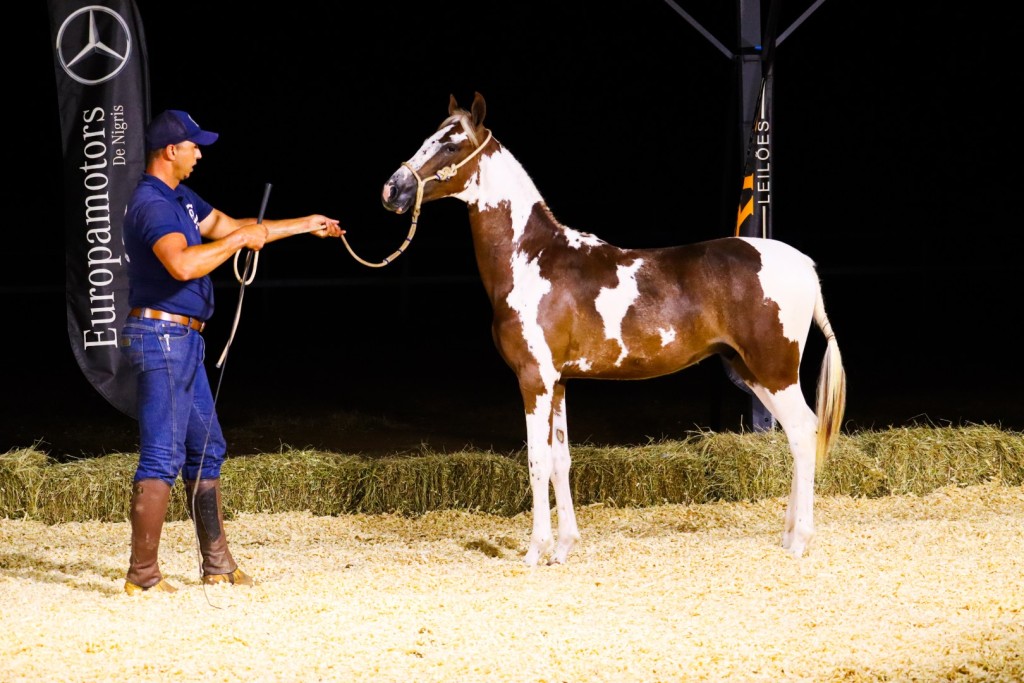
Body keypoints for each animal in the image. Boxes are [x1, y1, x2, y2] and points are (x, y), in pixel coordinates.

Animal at [381, 92, 846, 567]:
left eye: (450, 143)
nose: (393, 189)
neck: (531, 258)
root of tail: (805, 266)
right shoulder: (559, 382)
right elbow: (560, 460)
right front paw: (563, 547)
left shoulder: (534, 379)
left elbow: (536, 462)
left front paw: (535, 551)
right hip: (753, 372)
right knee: (796, 436)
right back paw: (788, 536)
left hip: (775, 372)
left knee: (804, 434)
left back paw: (800, 539)